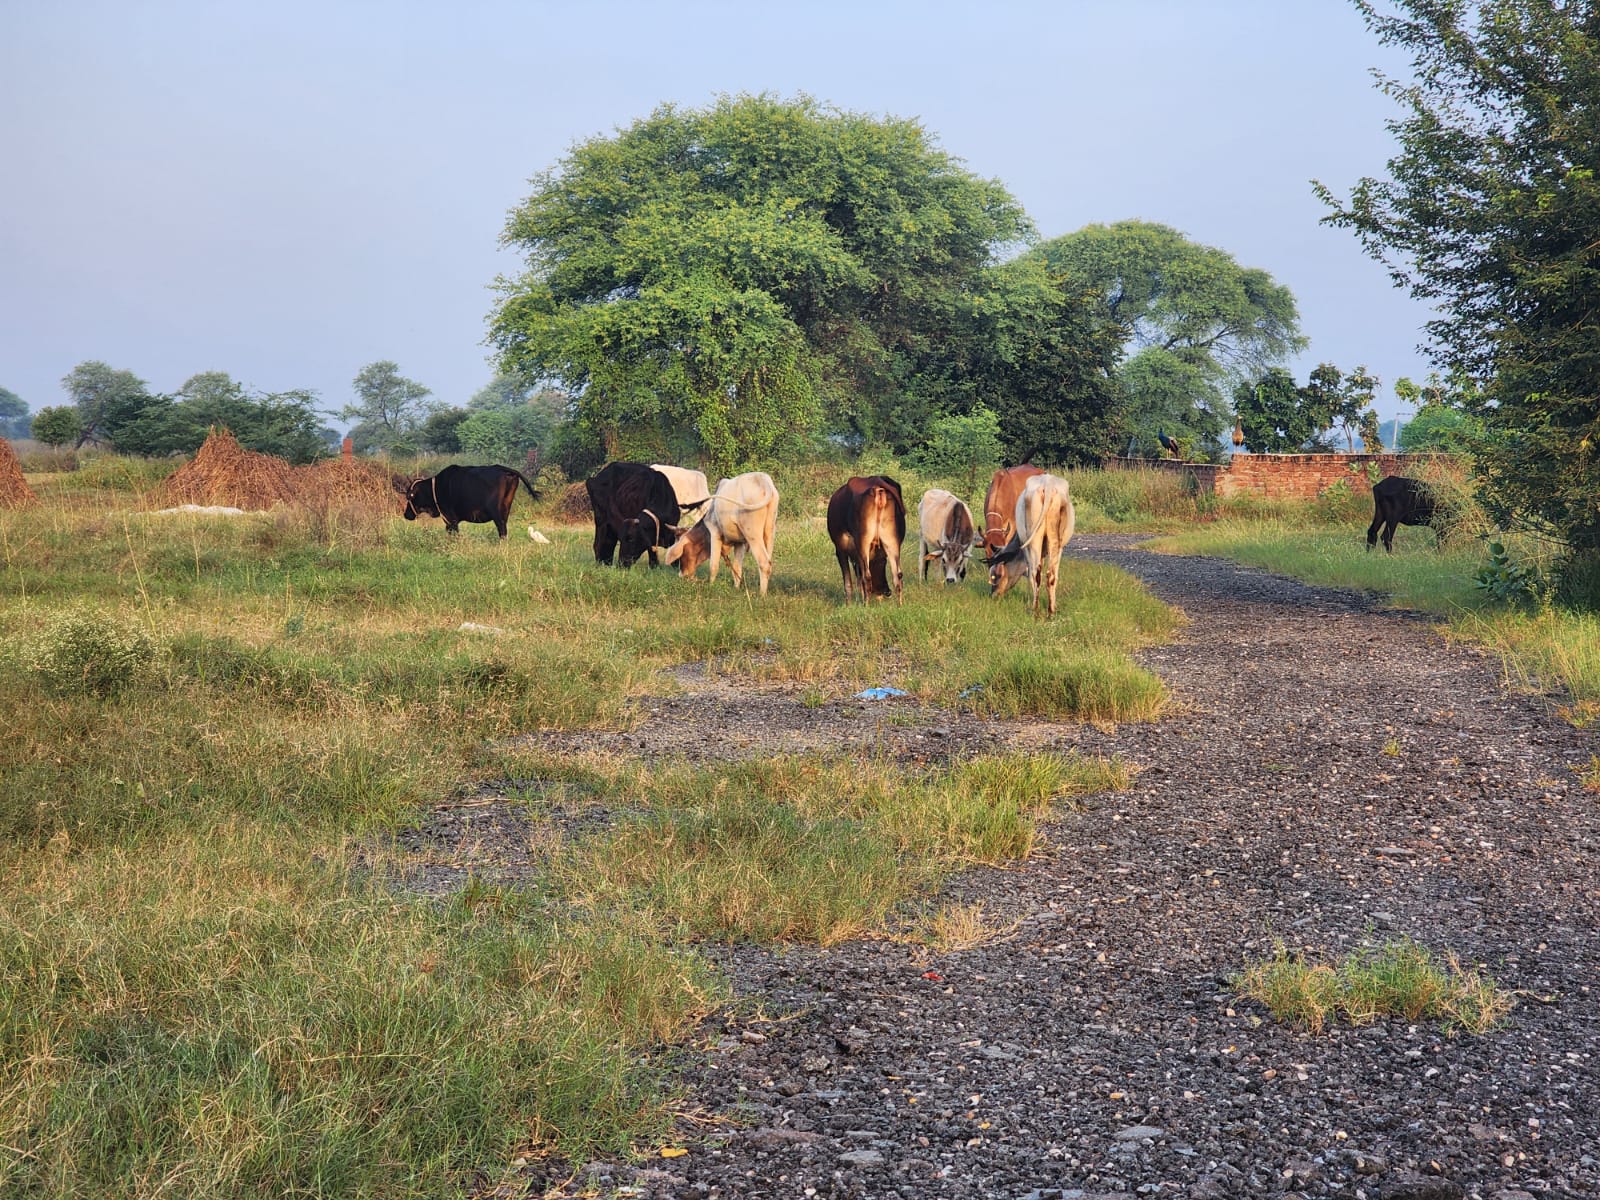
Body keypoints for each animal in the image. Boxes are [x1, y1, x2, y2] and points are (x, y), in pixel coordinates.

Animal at [401, 464, 539, 538]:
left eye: (409, 496)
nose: (406, 514)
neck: (435, 487)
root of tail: (501, 468)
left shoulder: (450, 519)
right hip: (506, 508)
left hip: (496, 512)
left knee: (501, 529)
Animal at [826, 476, 906, 604]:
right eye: (883, 563)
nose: (887, 592)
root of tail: (877, 486)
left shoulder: (840, 548)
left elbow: (848, 582)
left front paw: (848, 605)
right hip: (891, 541)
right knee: (897, 575)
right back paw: (900, 605)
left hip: (863, 541)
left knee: (866, 576)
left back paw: (866, 605)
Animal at [988, 472, 1076, 617]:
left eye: (996, 575)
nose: (993, 594)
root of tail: (1047, 483)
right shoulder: (1058, 549)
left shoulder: (1025, 548)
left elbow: (1029, 574)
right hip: (1054, 540)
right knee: (1050, 574)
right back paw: (1050, 611)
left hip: (1034, 540)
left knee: (1035, 573)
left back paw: (1035, 609)